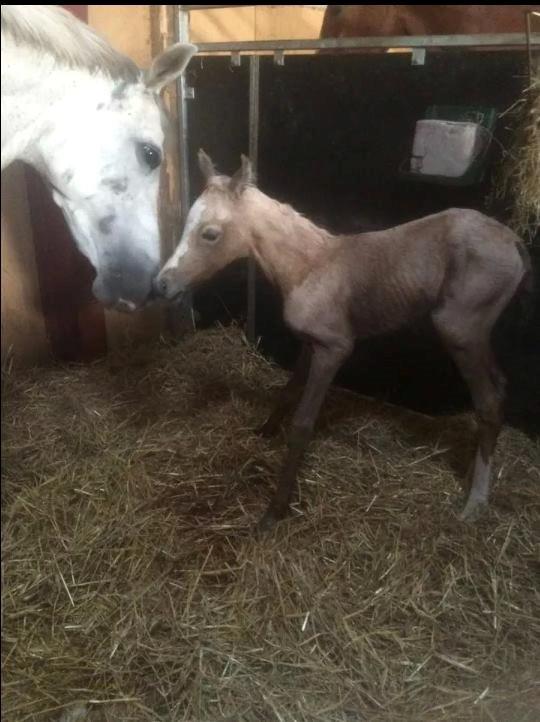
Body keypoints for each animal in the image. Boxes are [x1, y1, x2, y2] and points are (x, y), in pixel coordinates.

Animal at [155, 152, 532, 532]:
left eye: (210, 234)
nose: (161, 285)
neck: (308, 267)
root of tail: (513, 241)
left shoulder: (333, 349)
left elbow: (303, 424)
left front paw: (274, 512)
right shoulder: (310, 343)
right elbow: (288, 391)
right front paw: (264, 430)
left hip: (459, 330)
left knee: (488, 404)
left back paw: (475, 501)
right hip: (477, 334)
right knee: (500, 386)